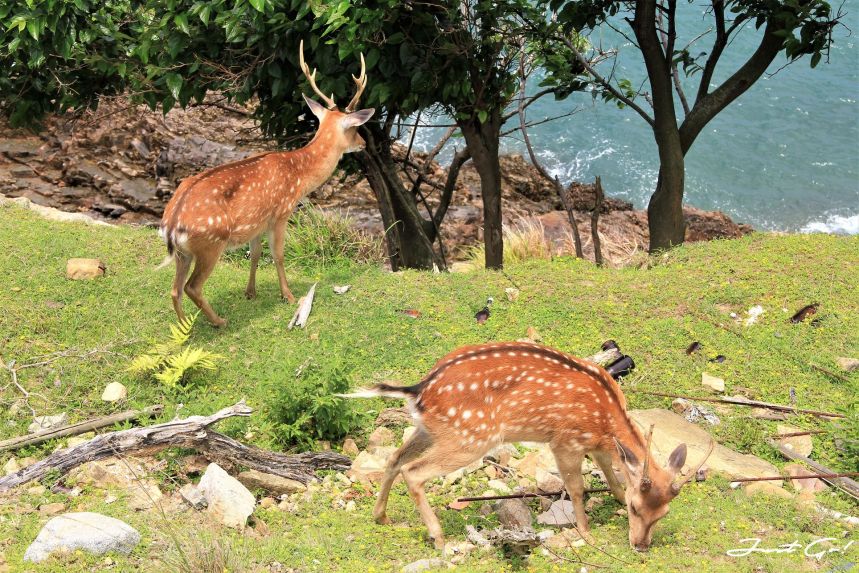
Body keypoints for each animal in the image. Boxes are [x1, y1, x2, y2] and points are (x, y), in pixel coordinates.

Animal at [158, 41, 374, 327]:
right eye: (354, 129)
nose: (363, 143)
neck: (299, 175)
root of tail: (171, 226)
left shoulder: (256, 222)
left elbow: (256, 254)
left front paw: (250, 292)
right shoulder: (281, 212)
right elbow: (278, 255)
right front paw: (289, 296)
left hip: (184, 253)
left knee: (174, 290)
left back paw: (184, 327)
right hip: (210, 244)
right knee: (192, 286)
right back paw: (219, 322)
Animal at [342, 341, 713, 551]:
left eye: (663, 513)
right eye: (638, 509)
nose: (640, 546)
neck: (605, 421)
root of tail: (418, 390)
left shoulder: (597, 445)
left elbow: (612, 474)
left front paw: (616, 499)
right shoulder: (564, 440)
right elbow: (577, 488)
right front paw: (586, 533)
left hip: (431, 430)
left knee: (394, 457)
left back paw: (381, 517)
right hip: (471, 436)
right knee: (414, 471)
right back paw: (438, 538)